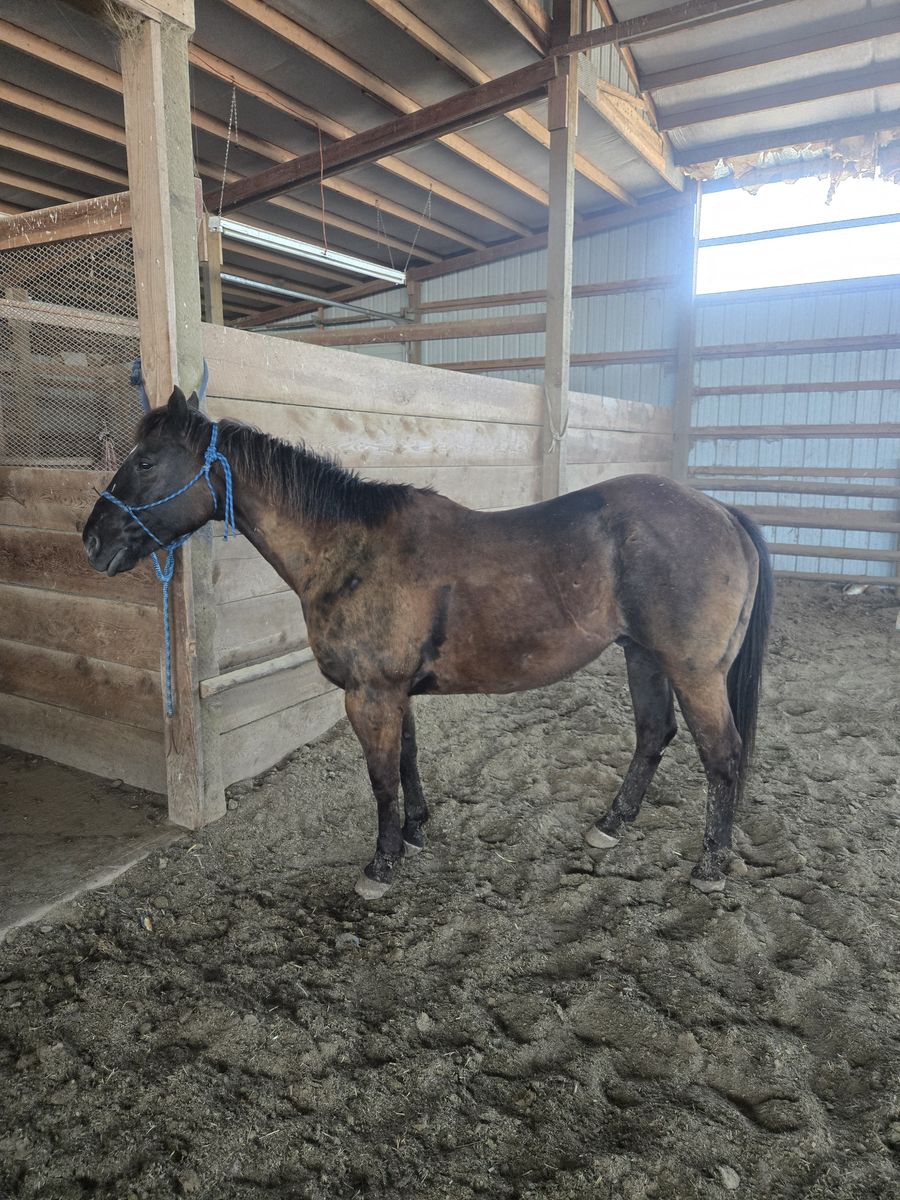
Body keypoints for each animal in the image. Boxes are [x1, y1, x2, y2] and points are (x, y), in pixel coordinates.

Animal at [83, 387, 773, 900]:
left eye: (146, 462)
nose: (92, 540)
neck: (350, 551)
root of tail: (721, 511)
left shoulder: (369, 694)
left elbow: (381, 778)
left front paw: (381, 865)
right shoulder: (394, 693)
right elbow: (408, 761)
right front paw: (415, 833)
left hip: (693, 671)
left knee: (722, 755)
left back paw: (710, 865)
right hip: (642, 656)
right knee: (654, 734)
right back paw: (611, 826)